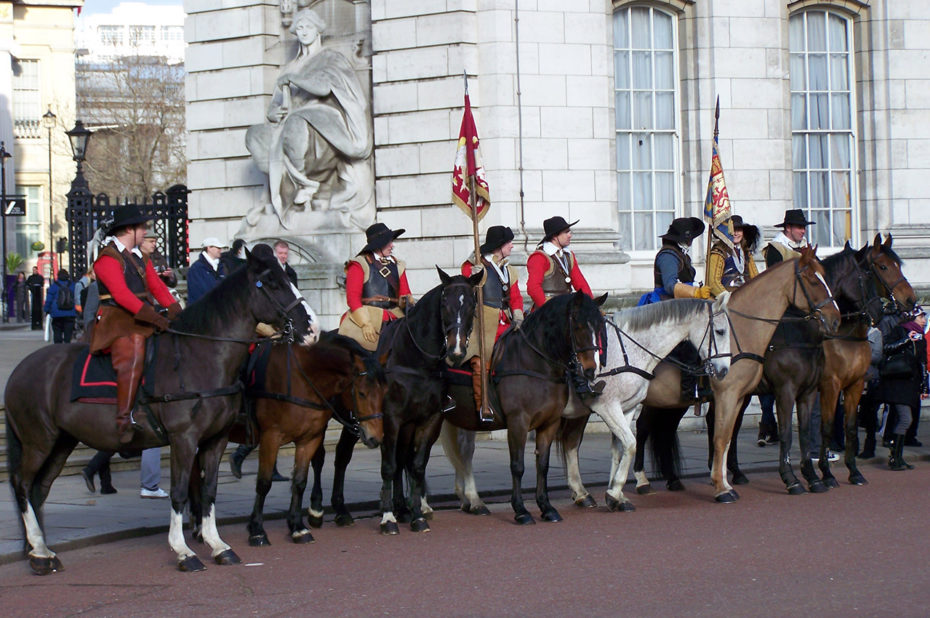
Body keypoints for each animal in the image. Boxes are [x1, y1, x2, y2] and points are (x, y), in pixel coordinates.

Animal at [1, 242, 316, 572]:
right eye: (273, 283)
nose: (311, 327)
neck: (202, 357)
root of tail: (21, 369)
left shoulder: (215, 439)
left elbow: (209, 491)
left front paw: (218, 545)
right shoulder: (184, 438)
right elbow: (179, 493)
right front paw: (183, 550)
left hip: (62, 441)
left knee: (39, 488)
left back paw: (41, 552)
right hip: (38, 440)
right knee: (22, 484)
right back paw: (39, 548)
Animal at [241, 332, 386, 544]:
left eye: (385, 391)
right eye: (361, 393)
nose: (376, 437)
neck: (301, 379)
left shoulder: (309, 438)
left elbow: (300, 481)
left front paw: (297, 526)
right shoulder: (271, 437)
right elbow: (264, 483)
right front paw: (257, 529)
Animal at [438, 292, 728, 512]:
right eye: (721, 330)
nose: (724, 370)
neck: (629, 351)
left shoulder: (627, 408)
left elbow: (620, 448)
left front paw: (616, 494)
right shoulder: (607, 407)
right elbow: (630, 444)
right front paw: (615, 492)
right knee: (465, 450)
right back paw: (471, 499)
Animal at [632, 245, 840, 500]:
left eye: (825, 277)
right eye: (812, 279)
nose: (835, 320)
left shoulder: (792, 392)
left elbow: (731, 437)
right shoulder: (772, 391)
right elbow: (735, 437)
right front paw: (790, 481)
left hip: (672, 399)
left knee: (664, 430)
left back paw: (672, 479)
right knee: (643, 428)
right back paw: (641, 481)